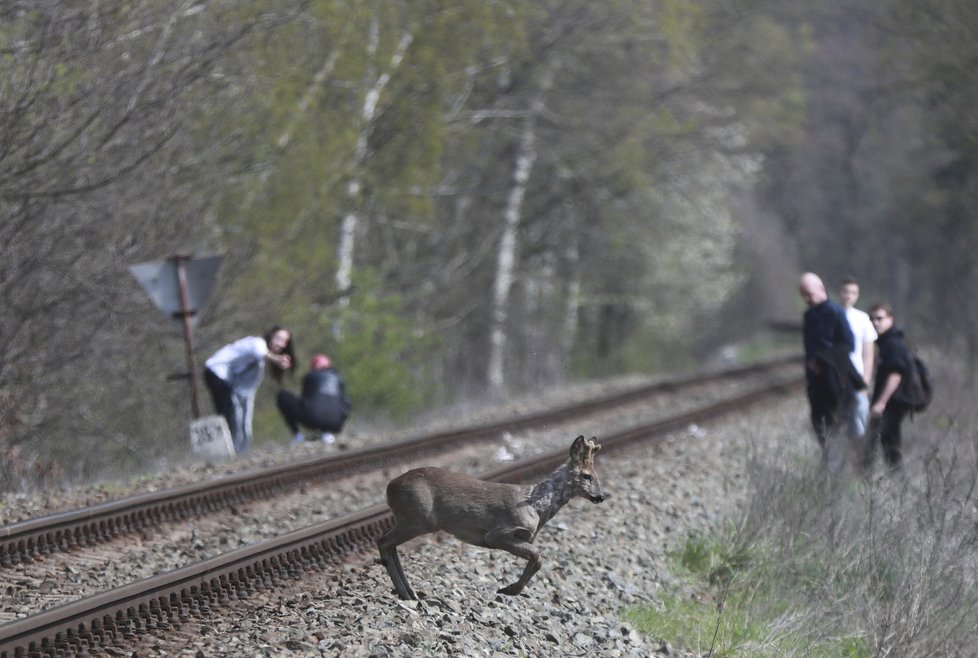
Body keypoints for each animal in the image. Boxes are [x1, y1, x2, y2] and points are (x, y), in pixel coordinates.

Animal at [376, 434, 600, 596]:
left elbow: (538, 558)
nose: (601, 496)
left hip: (410, 519)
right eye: (586, 476)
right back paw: (406, 592)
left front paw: (510, 589)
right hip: (418, 519)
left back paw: (409, 592)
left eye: (596, 476)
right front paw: (510, 589)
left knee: (388, 542)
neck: (535, 506)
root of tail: (389, 488)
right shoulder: (498, 533)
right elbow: (537, 554)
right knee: (383, 541)